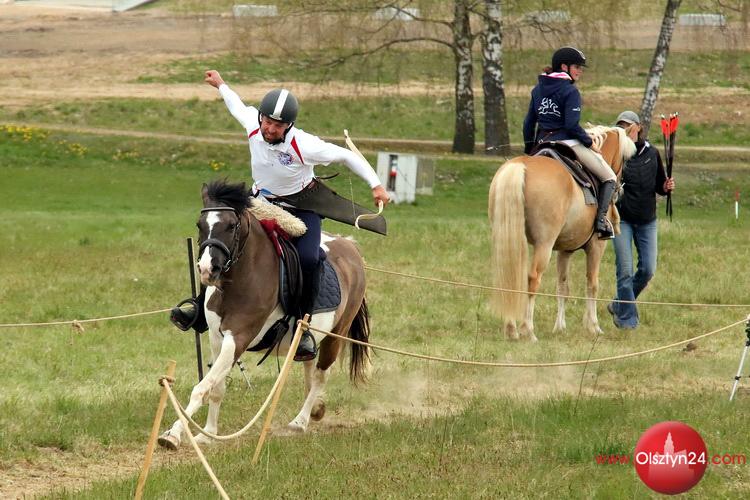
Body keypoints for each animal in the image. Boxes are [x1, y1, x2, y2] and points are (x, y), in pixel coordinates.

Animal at [158, 180, 371, 449]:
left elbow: (202, 387)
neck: (240, 280)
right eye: (200, 225)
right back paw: (315, 409)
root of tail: (350, 246)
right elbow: (216, 387)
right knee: (309, 365)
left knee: (321, 375)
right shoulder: (217, 339)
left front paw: (173, 434)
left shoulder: (238, 338)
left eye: (231, 225)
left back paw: (301, 421)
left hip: (337, 334)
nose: (208, 269)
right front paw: (207, 433)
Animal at [488, 126, 636, 341]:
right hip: (544, 244)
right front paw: (594, 326)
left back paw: (511, 329)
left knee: (509, 278)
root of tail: (520, 166)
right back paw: (528, 330)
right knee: (533, 278)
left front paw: (560, 327)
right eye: (625, 158)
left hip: (509, 239)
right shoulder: (596, 246)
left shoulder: (565, 250)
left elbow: (562, 287)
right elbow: (592, 284)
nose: (620, 189)